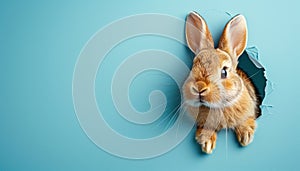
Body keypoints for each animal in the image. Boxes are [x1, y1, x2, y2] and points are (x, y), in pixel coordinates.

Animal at [182, 11, 262, 154]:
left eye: (224, 72)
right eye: (192, 68)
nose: (199, 87)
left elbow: (246, 120)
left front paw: (246, 136)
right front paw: (206, 142)